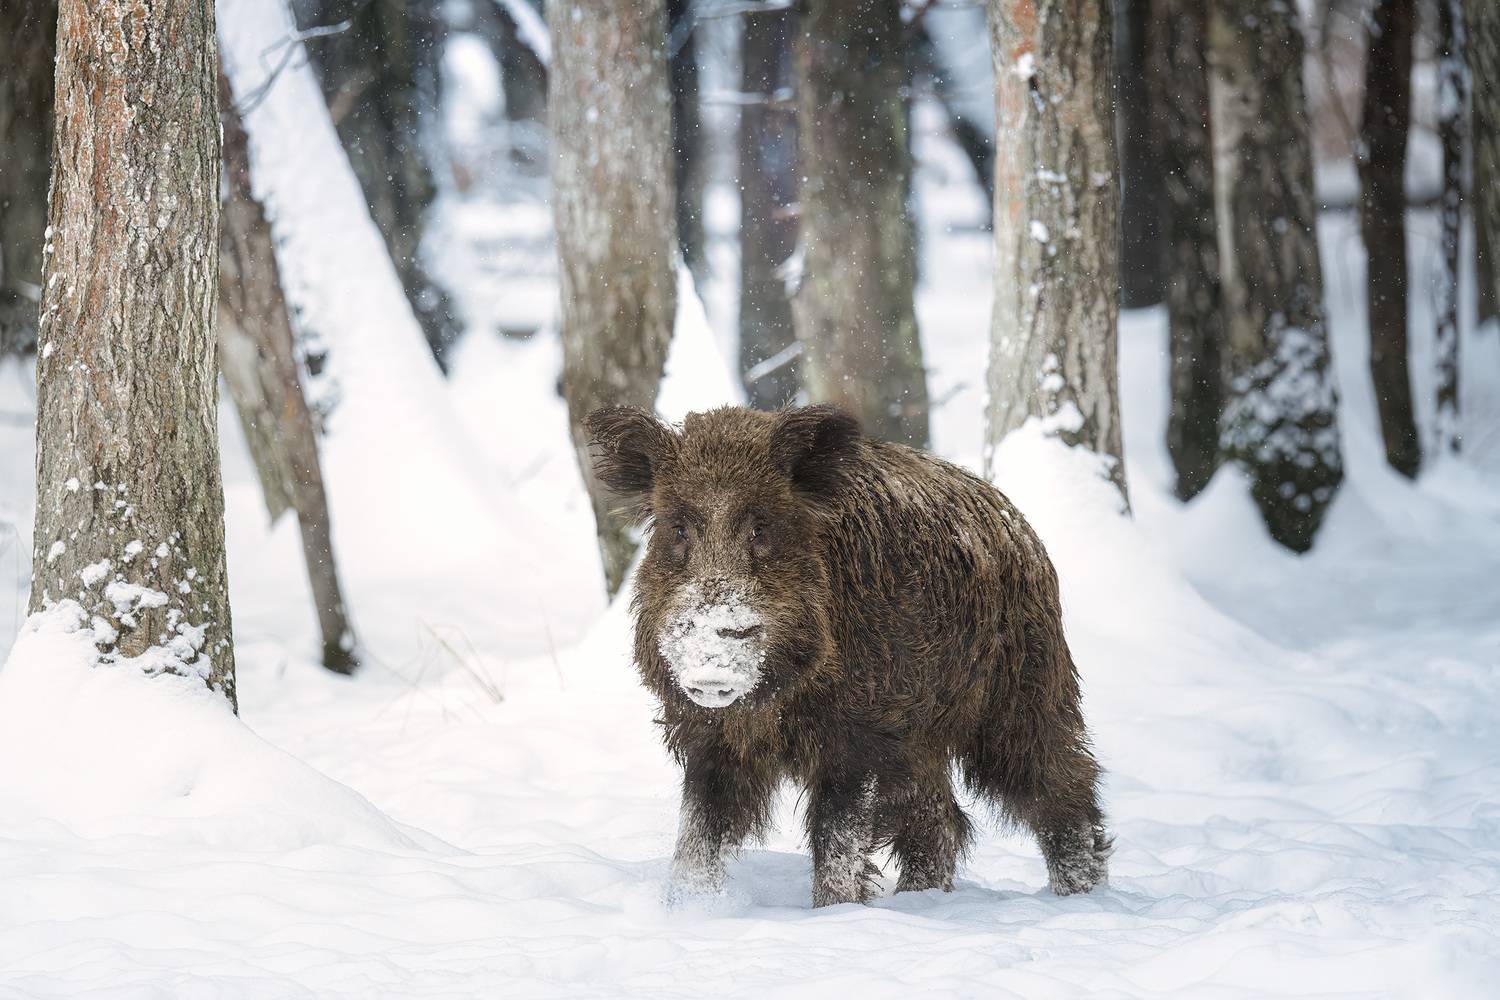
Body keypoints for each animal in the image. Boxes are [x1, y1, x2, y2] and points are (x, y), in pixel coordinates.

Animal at [585, 404, 1110, 907]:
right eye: (678, 529)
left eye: (760, 529)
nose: (711, 665)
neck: (775, 703)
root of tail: (1018, 527)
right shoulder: (709, 735)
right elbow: (697, 836)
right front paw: (687, 908)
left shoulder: (858, 734)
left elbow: (837, 841)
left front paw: (834, 913)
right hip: (921, 739)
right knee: (939, 820)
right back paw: (920, 900)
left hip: (1021, 697)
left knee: (1060, 788)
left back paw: (1081, 895)